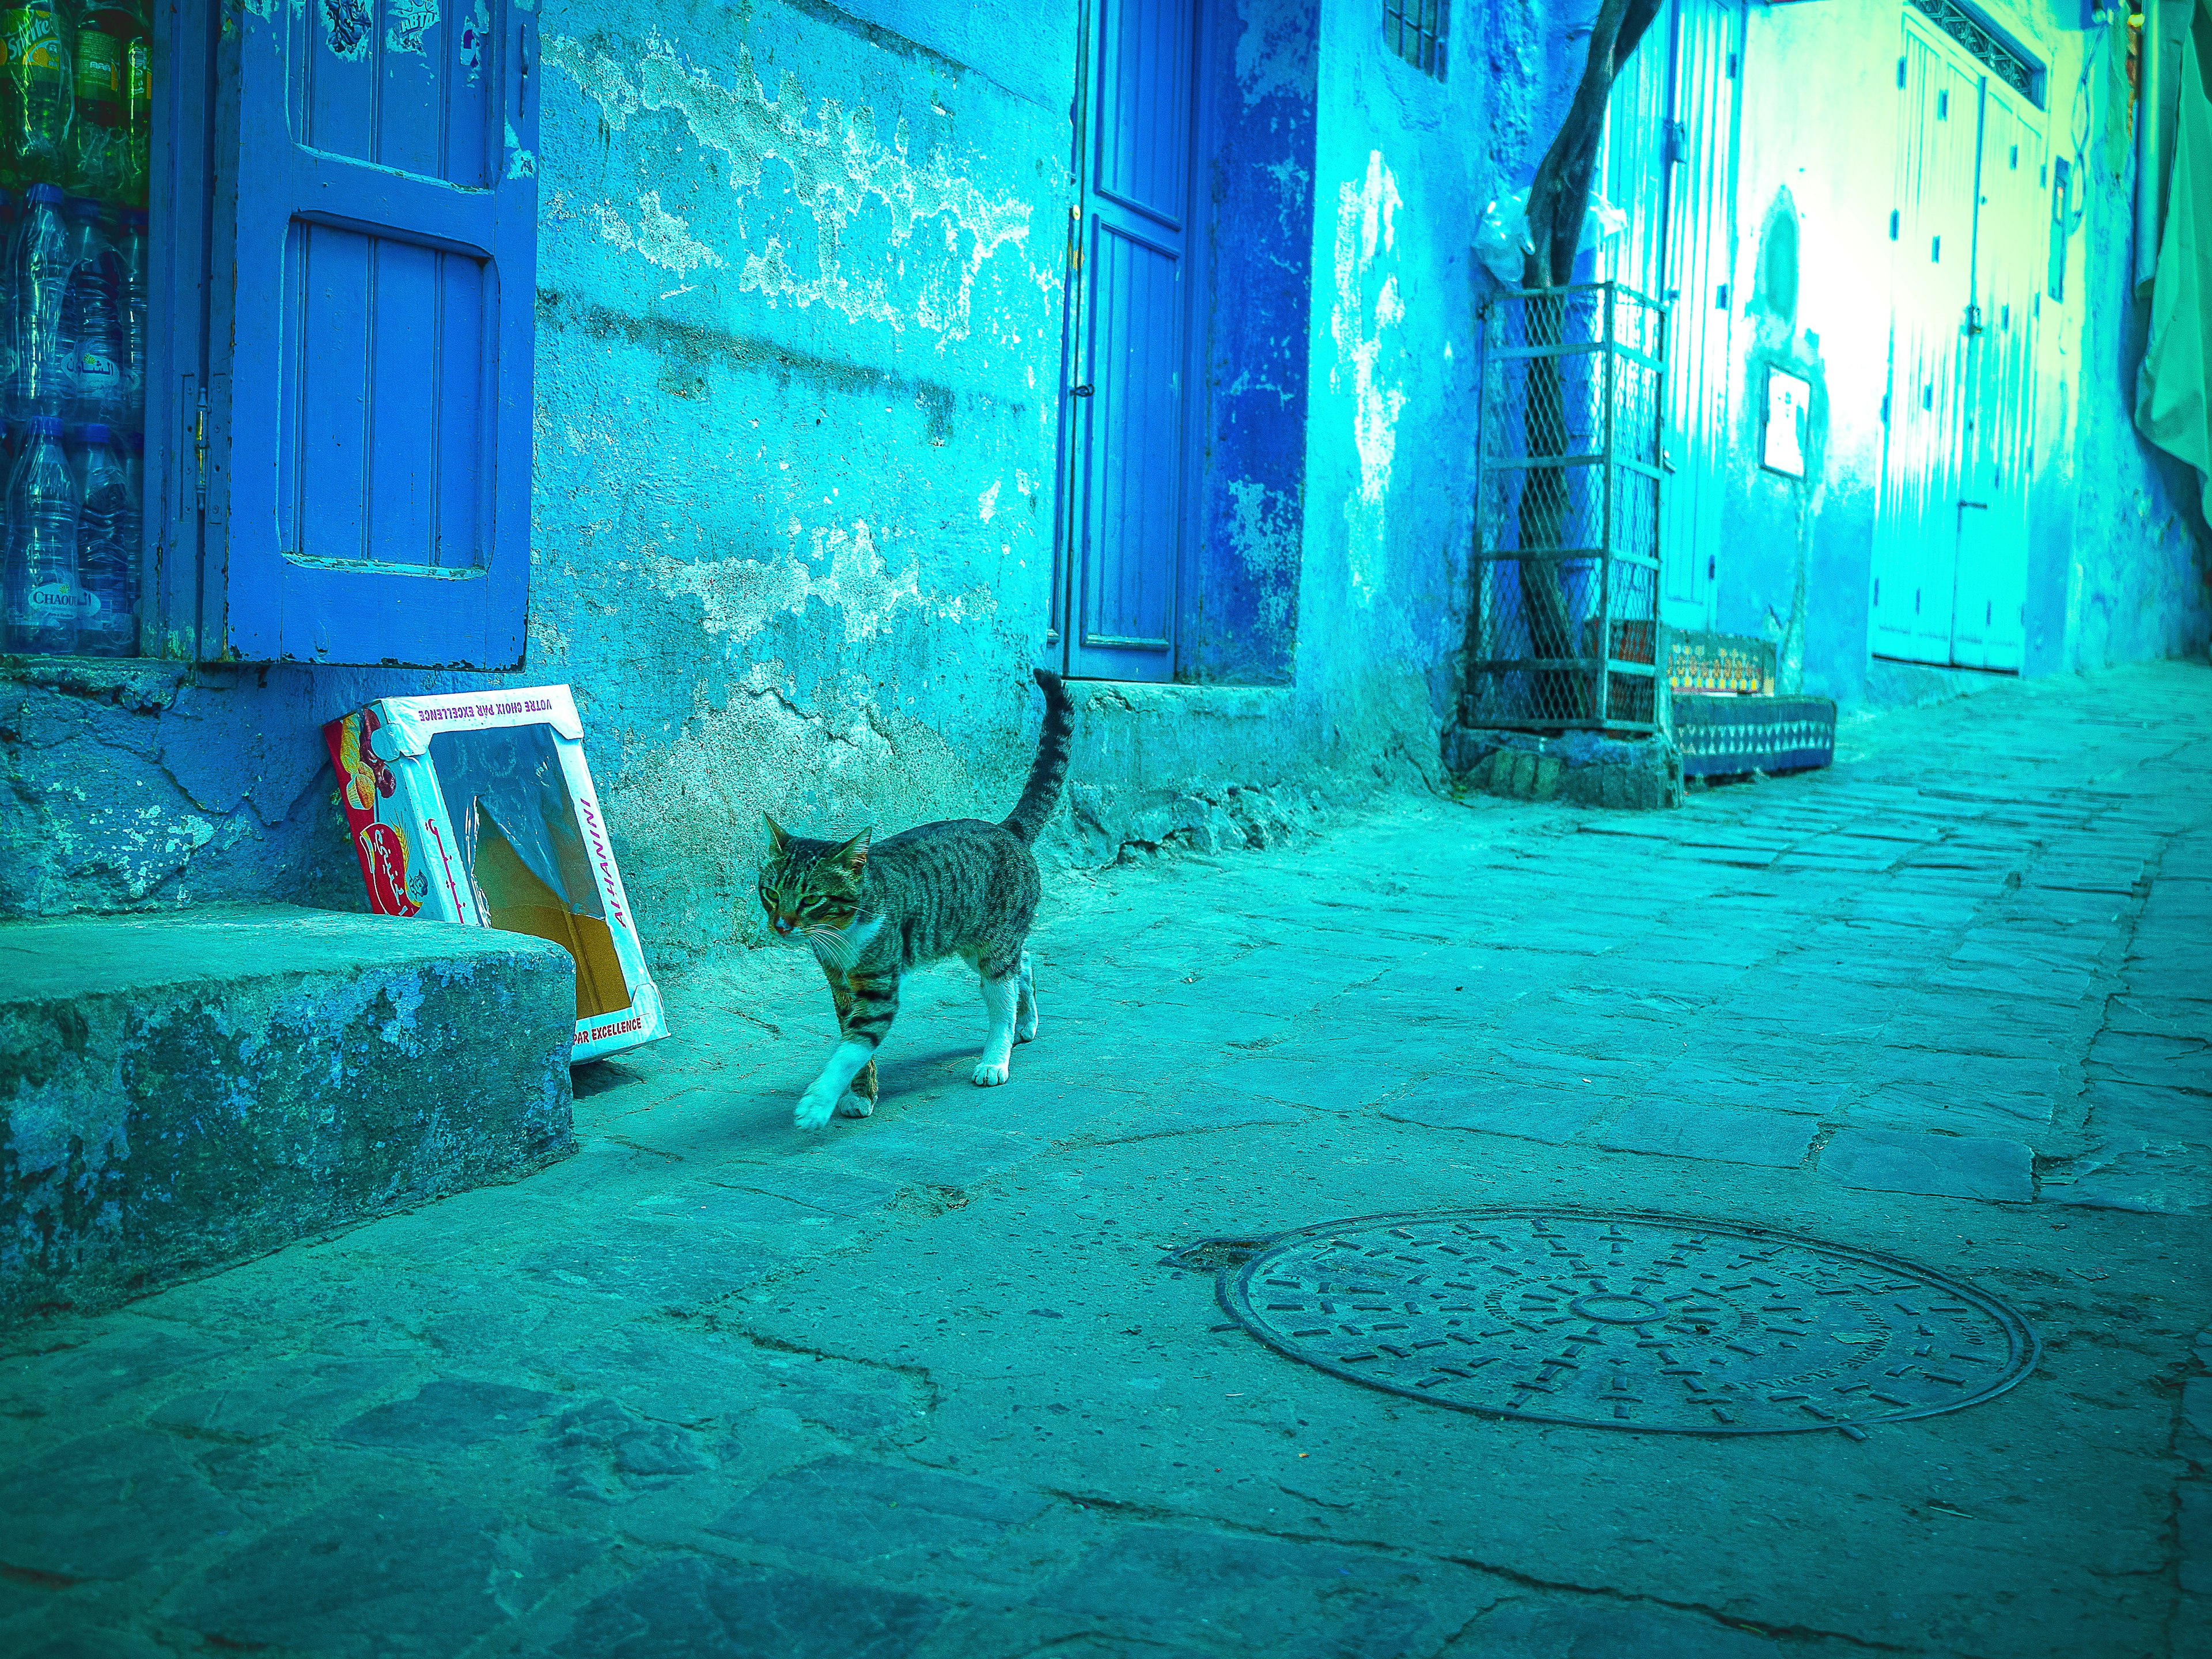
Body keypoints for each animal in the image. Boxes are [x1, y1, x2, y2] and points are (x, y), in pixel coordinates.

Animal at [756, 672, 1075, 1132]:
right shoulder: (841, 986)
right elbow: (853, 1044)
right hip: (977, 939)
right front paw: (860, 1095)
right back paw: (1026, 1022)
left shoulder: (879, 988)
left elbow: (852, 1047)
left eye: (812, 898)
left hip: (992, 947)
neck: (841, 934)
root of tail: (1007, 828)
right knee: (1025, 964)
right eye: (771, 894)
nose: (781, 926)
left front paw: (817, 1104)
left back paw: (995, 1059)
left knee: (1003, 993)